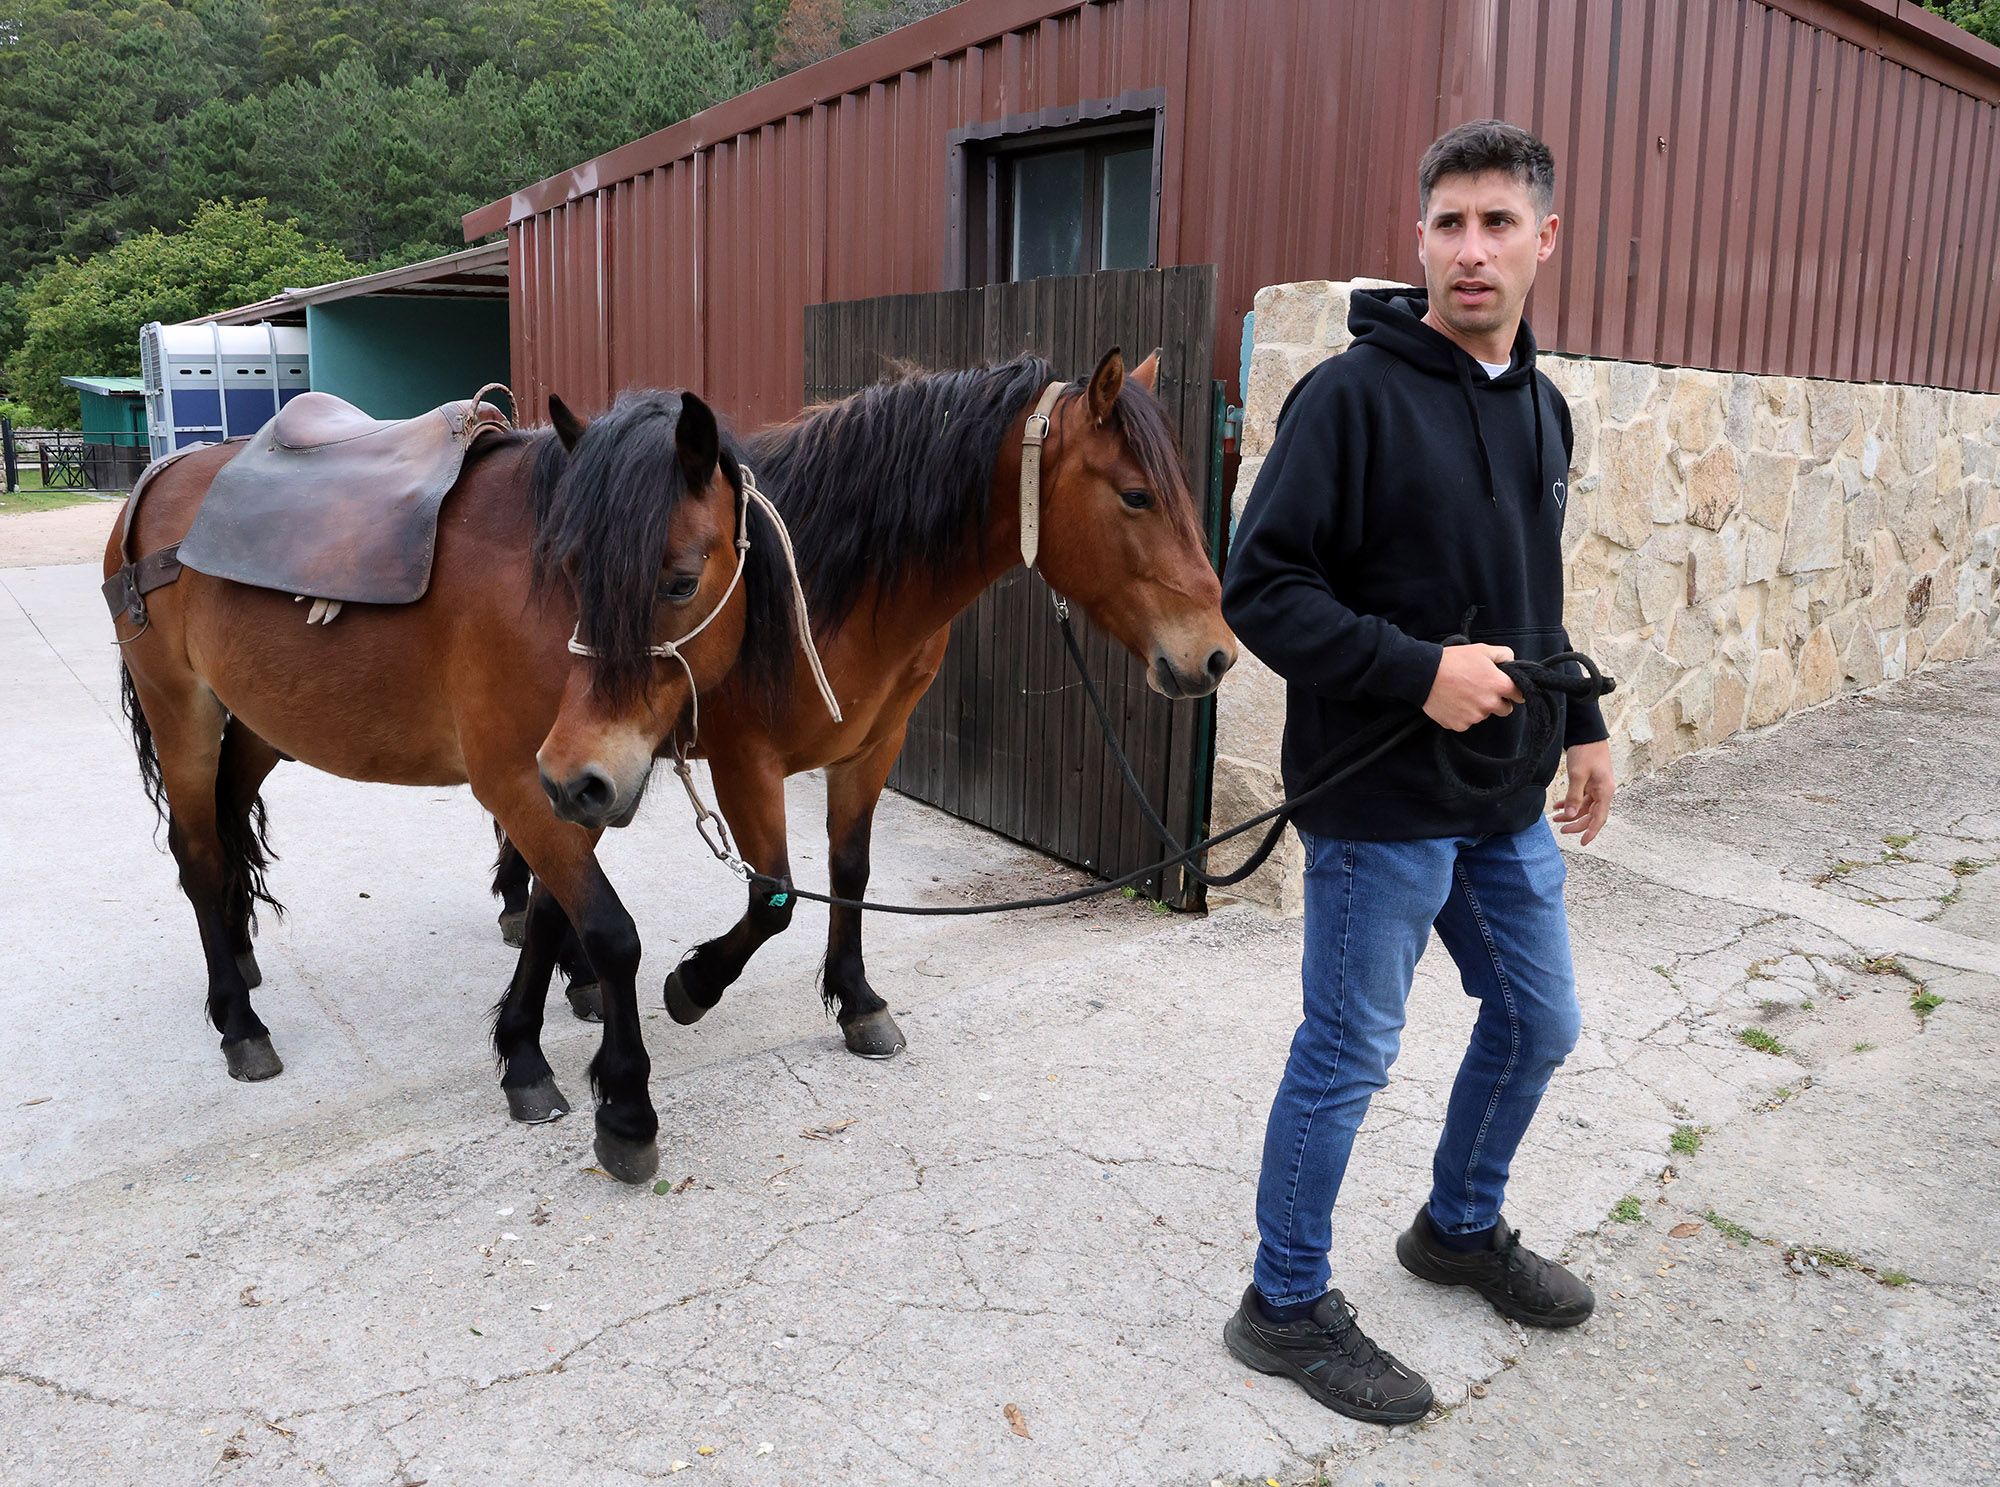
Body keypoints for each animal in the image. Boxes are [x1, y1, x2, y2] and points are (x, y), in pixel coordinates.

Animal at [101, 389, 788, 1175]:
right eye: (574, 574)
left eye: (680, 583)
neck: (536, 605)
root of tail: (161, 474)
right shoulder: (530, 786)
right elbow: (611, 934)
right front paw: (624, 1109)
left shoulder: (567, 791)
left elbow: (551, 917)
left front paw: (523, 1051)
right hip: (180, 710)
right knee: (199, 855)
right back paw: (239, 1023)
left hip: (254, 724)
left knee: (227, 825)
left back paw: (240, 960)